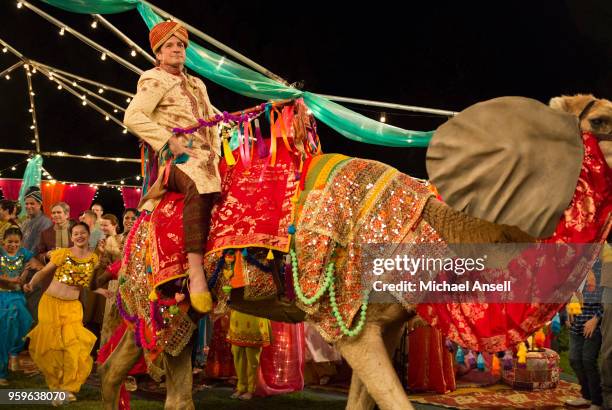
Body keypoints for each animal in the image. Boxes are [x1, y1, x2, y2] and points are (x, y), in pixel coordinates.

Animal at [98, 94, 608, 408]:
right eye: (600, 118)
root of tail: (139, 219)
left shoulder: (380, 320)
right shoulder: (347, 314)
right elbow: (395, 400)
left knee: (126, 364)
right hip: (162, 292)